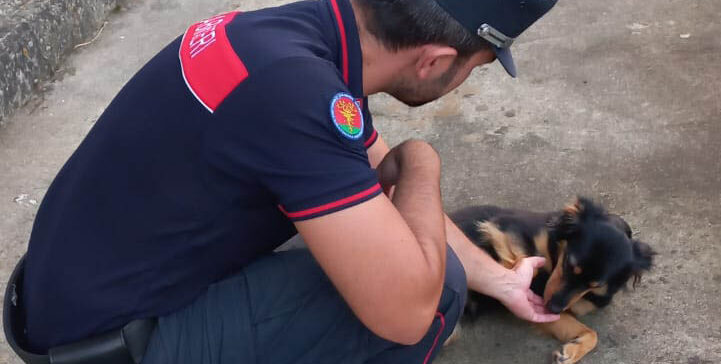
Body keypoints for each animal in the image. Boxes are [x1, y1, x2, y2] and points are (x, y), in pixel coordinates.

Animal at [452, 198, 656, 362]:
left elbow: (591, 334)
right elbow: (518, 258)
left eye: (594, 285)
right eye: (568, 264)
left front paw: (571, 352)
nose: (553, 307)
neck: (556, 254)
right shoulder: (504, 228)